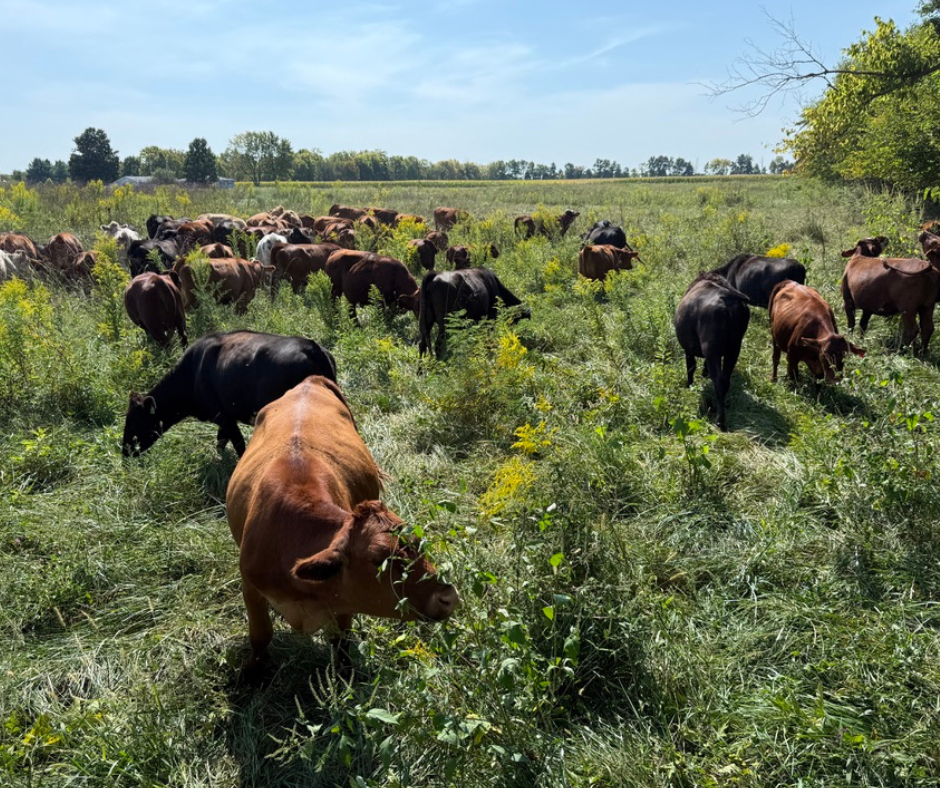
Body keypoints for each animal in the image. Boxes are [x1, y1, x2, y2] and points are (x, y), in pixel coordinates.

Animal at [122, 330, 337, 457]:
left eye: (133, 421)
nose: (124, 452)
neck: (193, 371)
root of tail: (311, 347)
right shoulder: (225, 418)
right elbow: (221, 442)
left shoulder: (224, 417)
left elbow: (239, 445)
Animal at [225, 375, 459, 671]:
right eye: (378, 560)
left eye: (420, 545)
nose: (449, 598)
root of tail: (309, 381)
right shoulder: (250, 588)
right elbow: (260, 636)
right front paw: (251, 673)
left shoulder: (344, 600)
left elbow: (341, 642)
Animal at [674, 272, 751, 430]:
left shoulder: (688, 349)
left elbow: (690, 367)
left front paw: (689, 385)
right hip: (734, 349)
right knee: (725, 380)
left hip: (711, 348)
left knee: (719, 381)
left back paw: (720, 420)